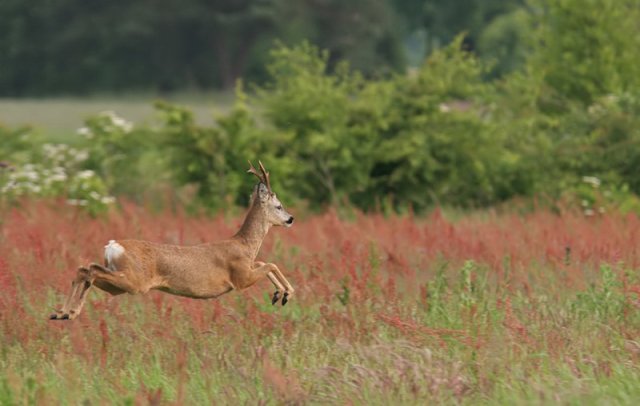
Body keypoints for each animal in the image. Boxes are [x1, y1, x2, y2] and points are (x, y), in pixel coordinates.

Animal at [49, 161, 295, 320]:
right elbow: (271, 263)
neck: (244, 245)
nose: (291, 219)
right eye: (279, 206)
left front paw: (278, 294)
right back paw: (67, 312)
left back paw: (62, 313)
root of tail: (112, 246)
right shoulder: (240, 278)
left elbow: (265, 262)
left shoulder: (247, 269)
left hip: (118, 283)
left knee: (85, 269)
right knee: (89, 271)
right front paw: (286, 294)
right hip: (135, 281)